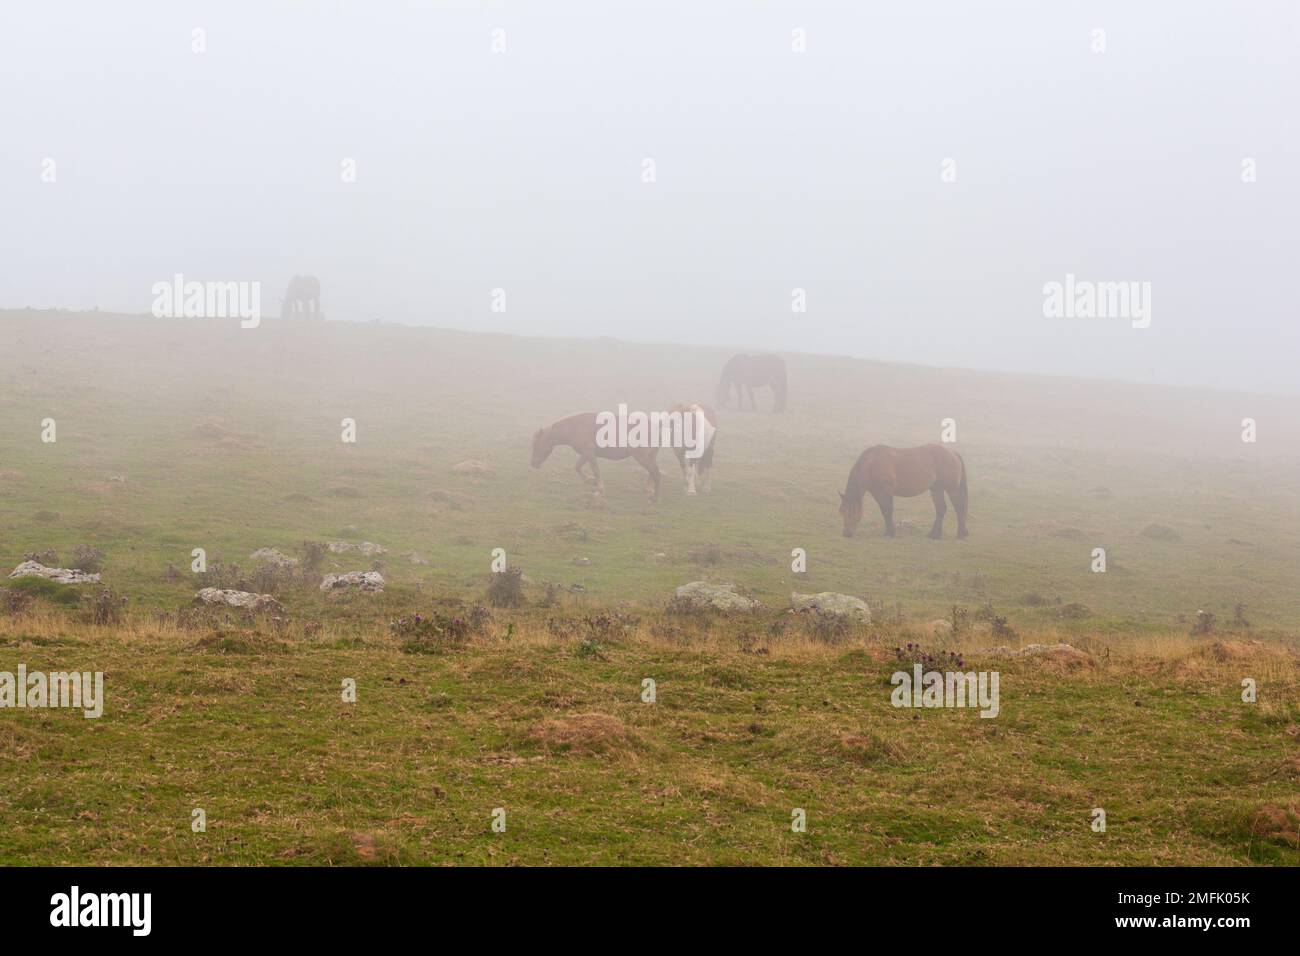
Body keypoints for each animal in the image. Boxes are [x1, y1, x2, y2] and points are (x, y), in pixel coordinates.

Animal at [527, 411, 660, 502]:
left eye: (537, 444)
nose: (533, 464)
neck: (574, 427)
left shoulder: (589, 453)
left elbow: (596, 470)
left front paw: (600, 489)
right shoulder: (585, 454)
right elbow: (577, 467)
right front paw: (590, 480)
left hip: (641, 457)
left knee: (656, 473)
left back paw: (654, 497)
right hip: (649, 457)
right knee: (652, 472)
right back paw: (649, 490)